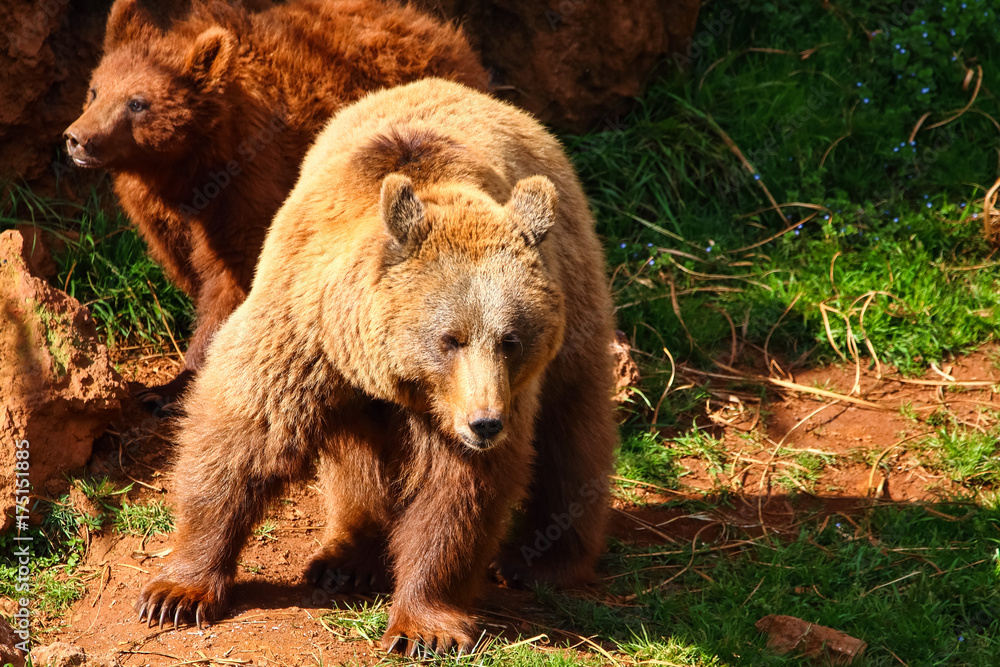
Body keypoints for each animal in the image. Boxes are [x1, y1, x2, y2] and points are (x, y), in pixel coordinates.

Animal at [63, 0, 488, 402]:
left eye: (137, 103)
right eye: (95, 90)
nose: (77, 138)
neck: (187, 166)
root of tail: (438, 29)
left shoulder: (250, 183)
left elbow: (234, 280)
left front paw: (176, 385)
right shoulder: (163, 215)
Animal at [135, 77, 618, 655]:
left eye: (511, 339)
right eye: (450, 338)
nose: (486, 423)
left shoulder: (475, 404)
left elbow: (456, 497)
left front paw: (424, 627)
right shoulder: (305, 336)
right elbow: (240, 437)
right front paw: (176, 593)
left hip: (573, 303)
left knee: (573, 427)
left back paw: (543, 562)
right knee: (358, 460)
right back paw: (346, 557)